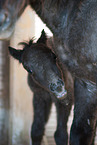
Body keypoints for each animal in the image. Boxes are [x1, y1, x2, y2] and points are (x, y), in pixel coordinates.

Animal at [29, 0, 97, 145]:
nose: (57, 87)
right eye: (29, 69)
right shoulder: (39, 97)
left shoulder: (68, 97)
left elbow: (61, 133)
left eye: (53, 56)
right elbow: (37, 128)